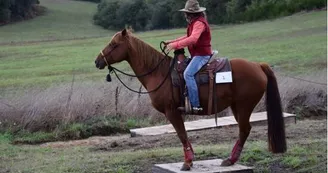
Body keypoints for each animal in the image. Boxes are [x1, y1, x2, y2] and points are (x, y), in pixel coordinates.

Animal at [95, 29, 288, 171]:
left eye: (114, 44)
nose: (97, 61)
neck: (159, 73)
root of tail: (258, 66)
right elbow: (184, 135)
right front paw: (191, 159)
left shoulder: (172, 111)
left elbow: (181, 134)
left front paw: (187, 162)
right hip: (236, 107)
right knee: (244, 129)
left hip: (244, 106)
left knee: (244, 129)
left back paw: (230, 159)